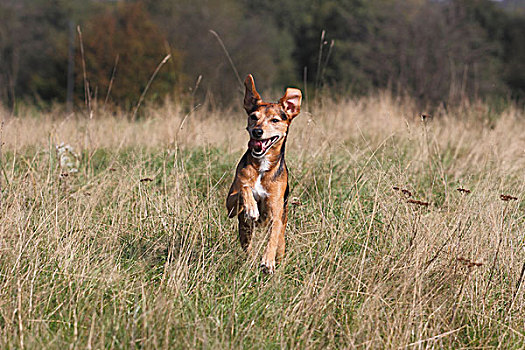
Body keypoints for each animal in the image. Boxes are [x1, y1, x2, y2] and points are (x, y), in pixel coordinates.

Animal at [226, 74, 302, 274]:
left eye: (275, 120)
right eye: (254, 117)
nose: (257, 131)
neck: (262, 166)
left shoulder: (275, 213)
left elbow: (272, 238)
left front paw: (267, 261)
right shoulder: (230, 206)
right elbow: (244, 187)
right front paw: (252, 207)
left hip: (282, 239)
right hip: (244, 233)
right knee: (248, 248)